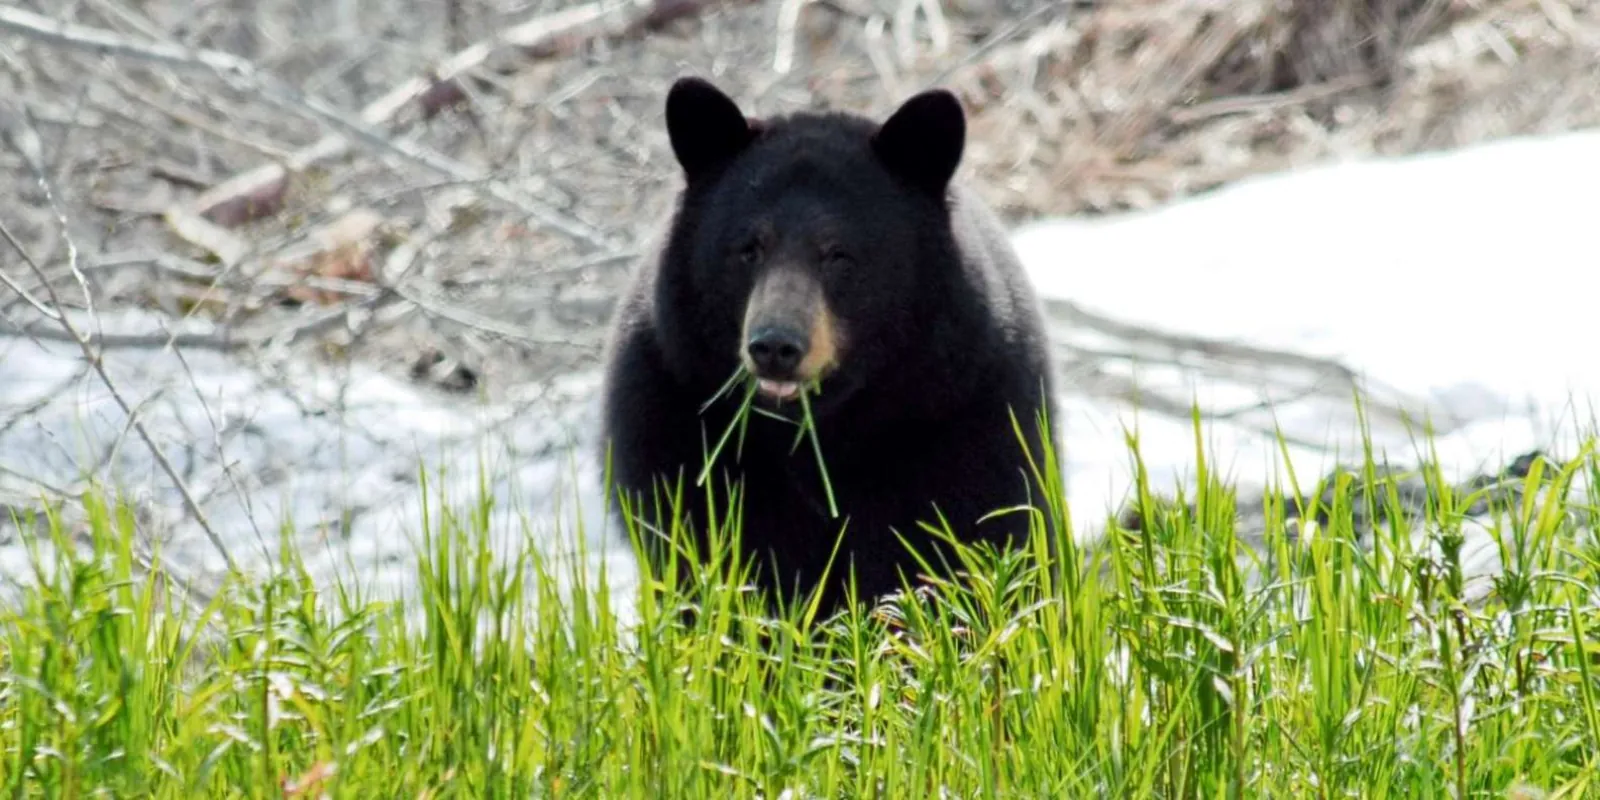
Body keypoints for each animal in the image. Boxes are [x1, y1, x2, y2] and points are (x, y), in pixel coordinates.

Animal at [597, 76, 1061, 615]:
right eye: (748, 248)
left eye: (839, 254)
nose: (775, 346)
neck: (818, 432)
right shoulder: (677, 427)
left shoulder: (964, 417)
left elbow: (960, 544)